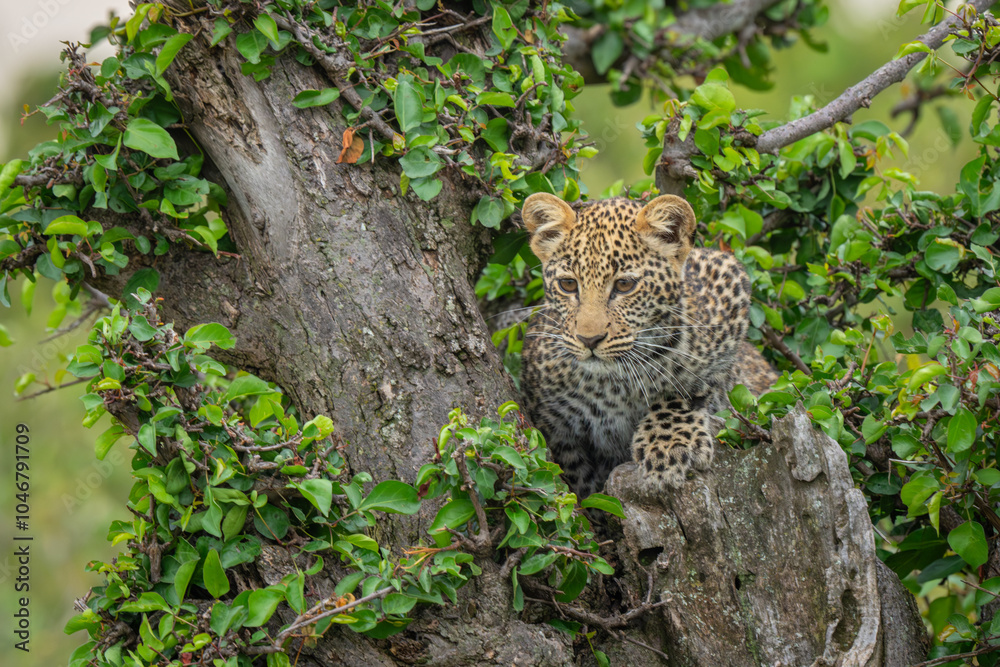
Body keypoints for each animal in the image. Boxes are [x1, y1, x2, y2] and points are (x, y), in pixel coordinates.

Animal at [519, 193, 776, 497]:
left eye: (625, 285)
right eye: (568, 284)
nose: (589, 339)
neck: (612, 387)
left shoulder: (727, 279)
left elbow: (687, 384)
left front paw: (668, 446)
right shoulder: (554, 426)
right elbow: (578, 482)